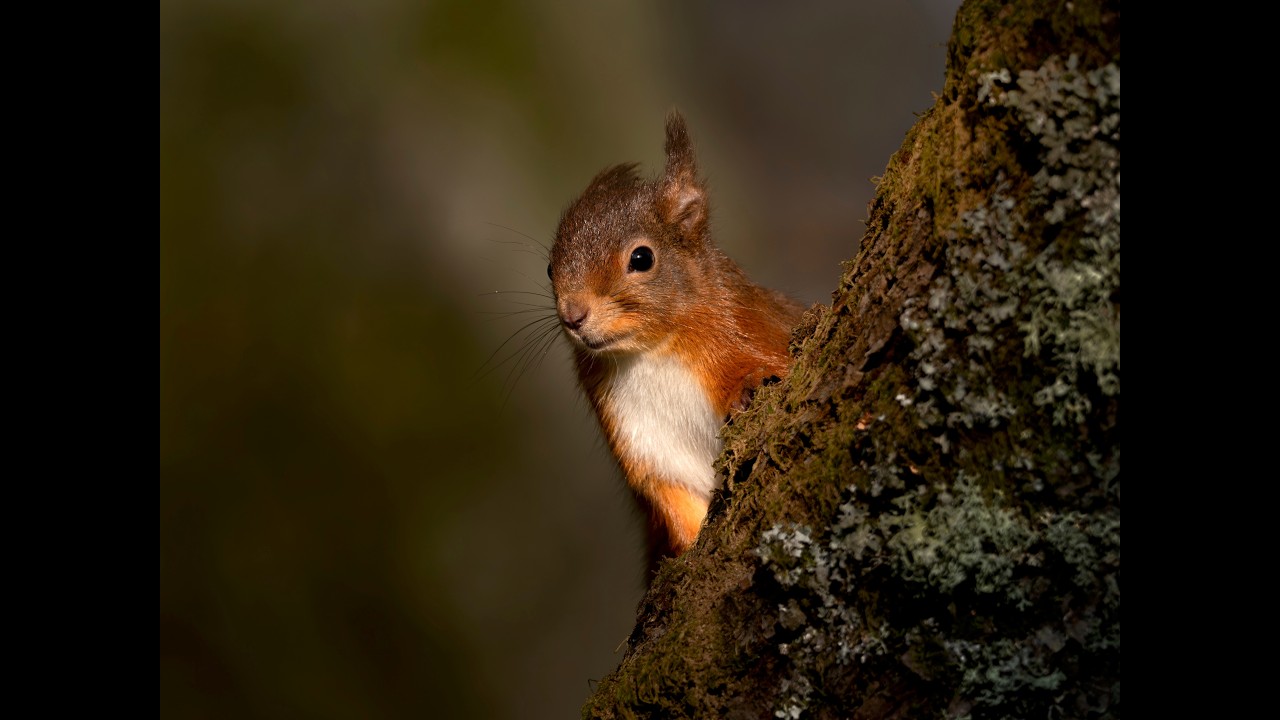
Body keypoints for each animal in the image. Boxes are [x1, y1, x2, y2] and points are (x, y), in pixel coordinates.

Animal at [548, 111, 806, 579]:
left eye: (642, 258)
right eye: (548, 268)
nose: (573, 315)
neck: (652, 352)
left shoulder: (746, 328)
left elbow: (768, 362)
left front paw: (749, 385)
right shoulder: (645, 444)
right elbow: (677, 505)